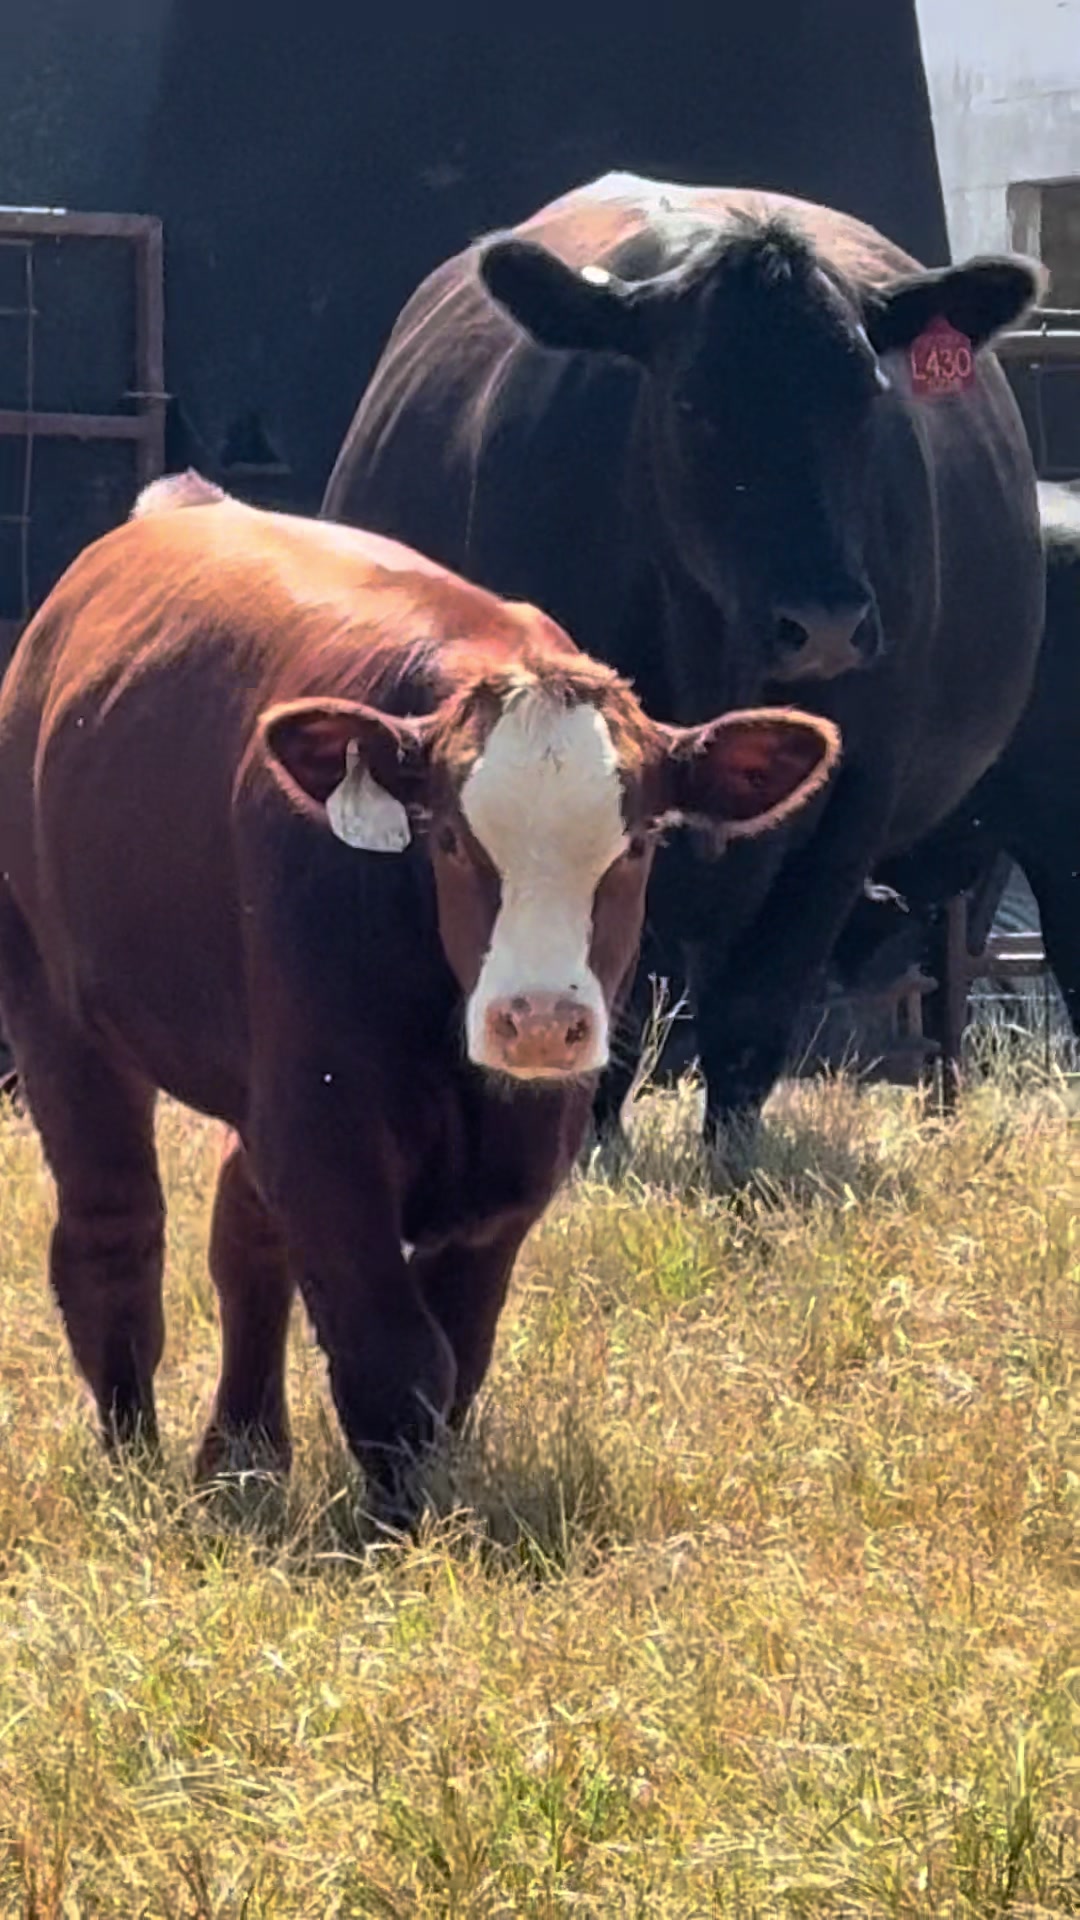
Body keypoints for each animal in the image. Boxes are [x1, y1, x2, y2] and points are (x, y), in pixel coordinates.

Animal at [0, 472, 837, 1514]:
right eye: (448, 837)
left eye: (638, 841)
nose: (539, 1019)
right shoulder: (327, 1134)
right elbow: (396, 1362)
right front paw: (398, 1529)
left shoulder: (516, 1160)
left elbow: (457, 1357)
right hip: (56, 1009)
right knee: (111, 1233)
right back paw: (134, 1461)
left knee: (241, 1229)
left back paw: (242, 1456)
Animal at [322, 169, 1046, 1135]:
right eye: (692, 403)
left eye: (865, 395)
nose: (824, 622)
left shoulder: (854, 803)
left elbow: (753, 1012)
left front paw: (733, 1157)